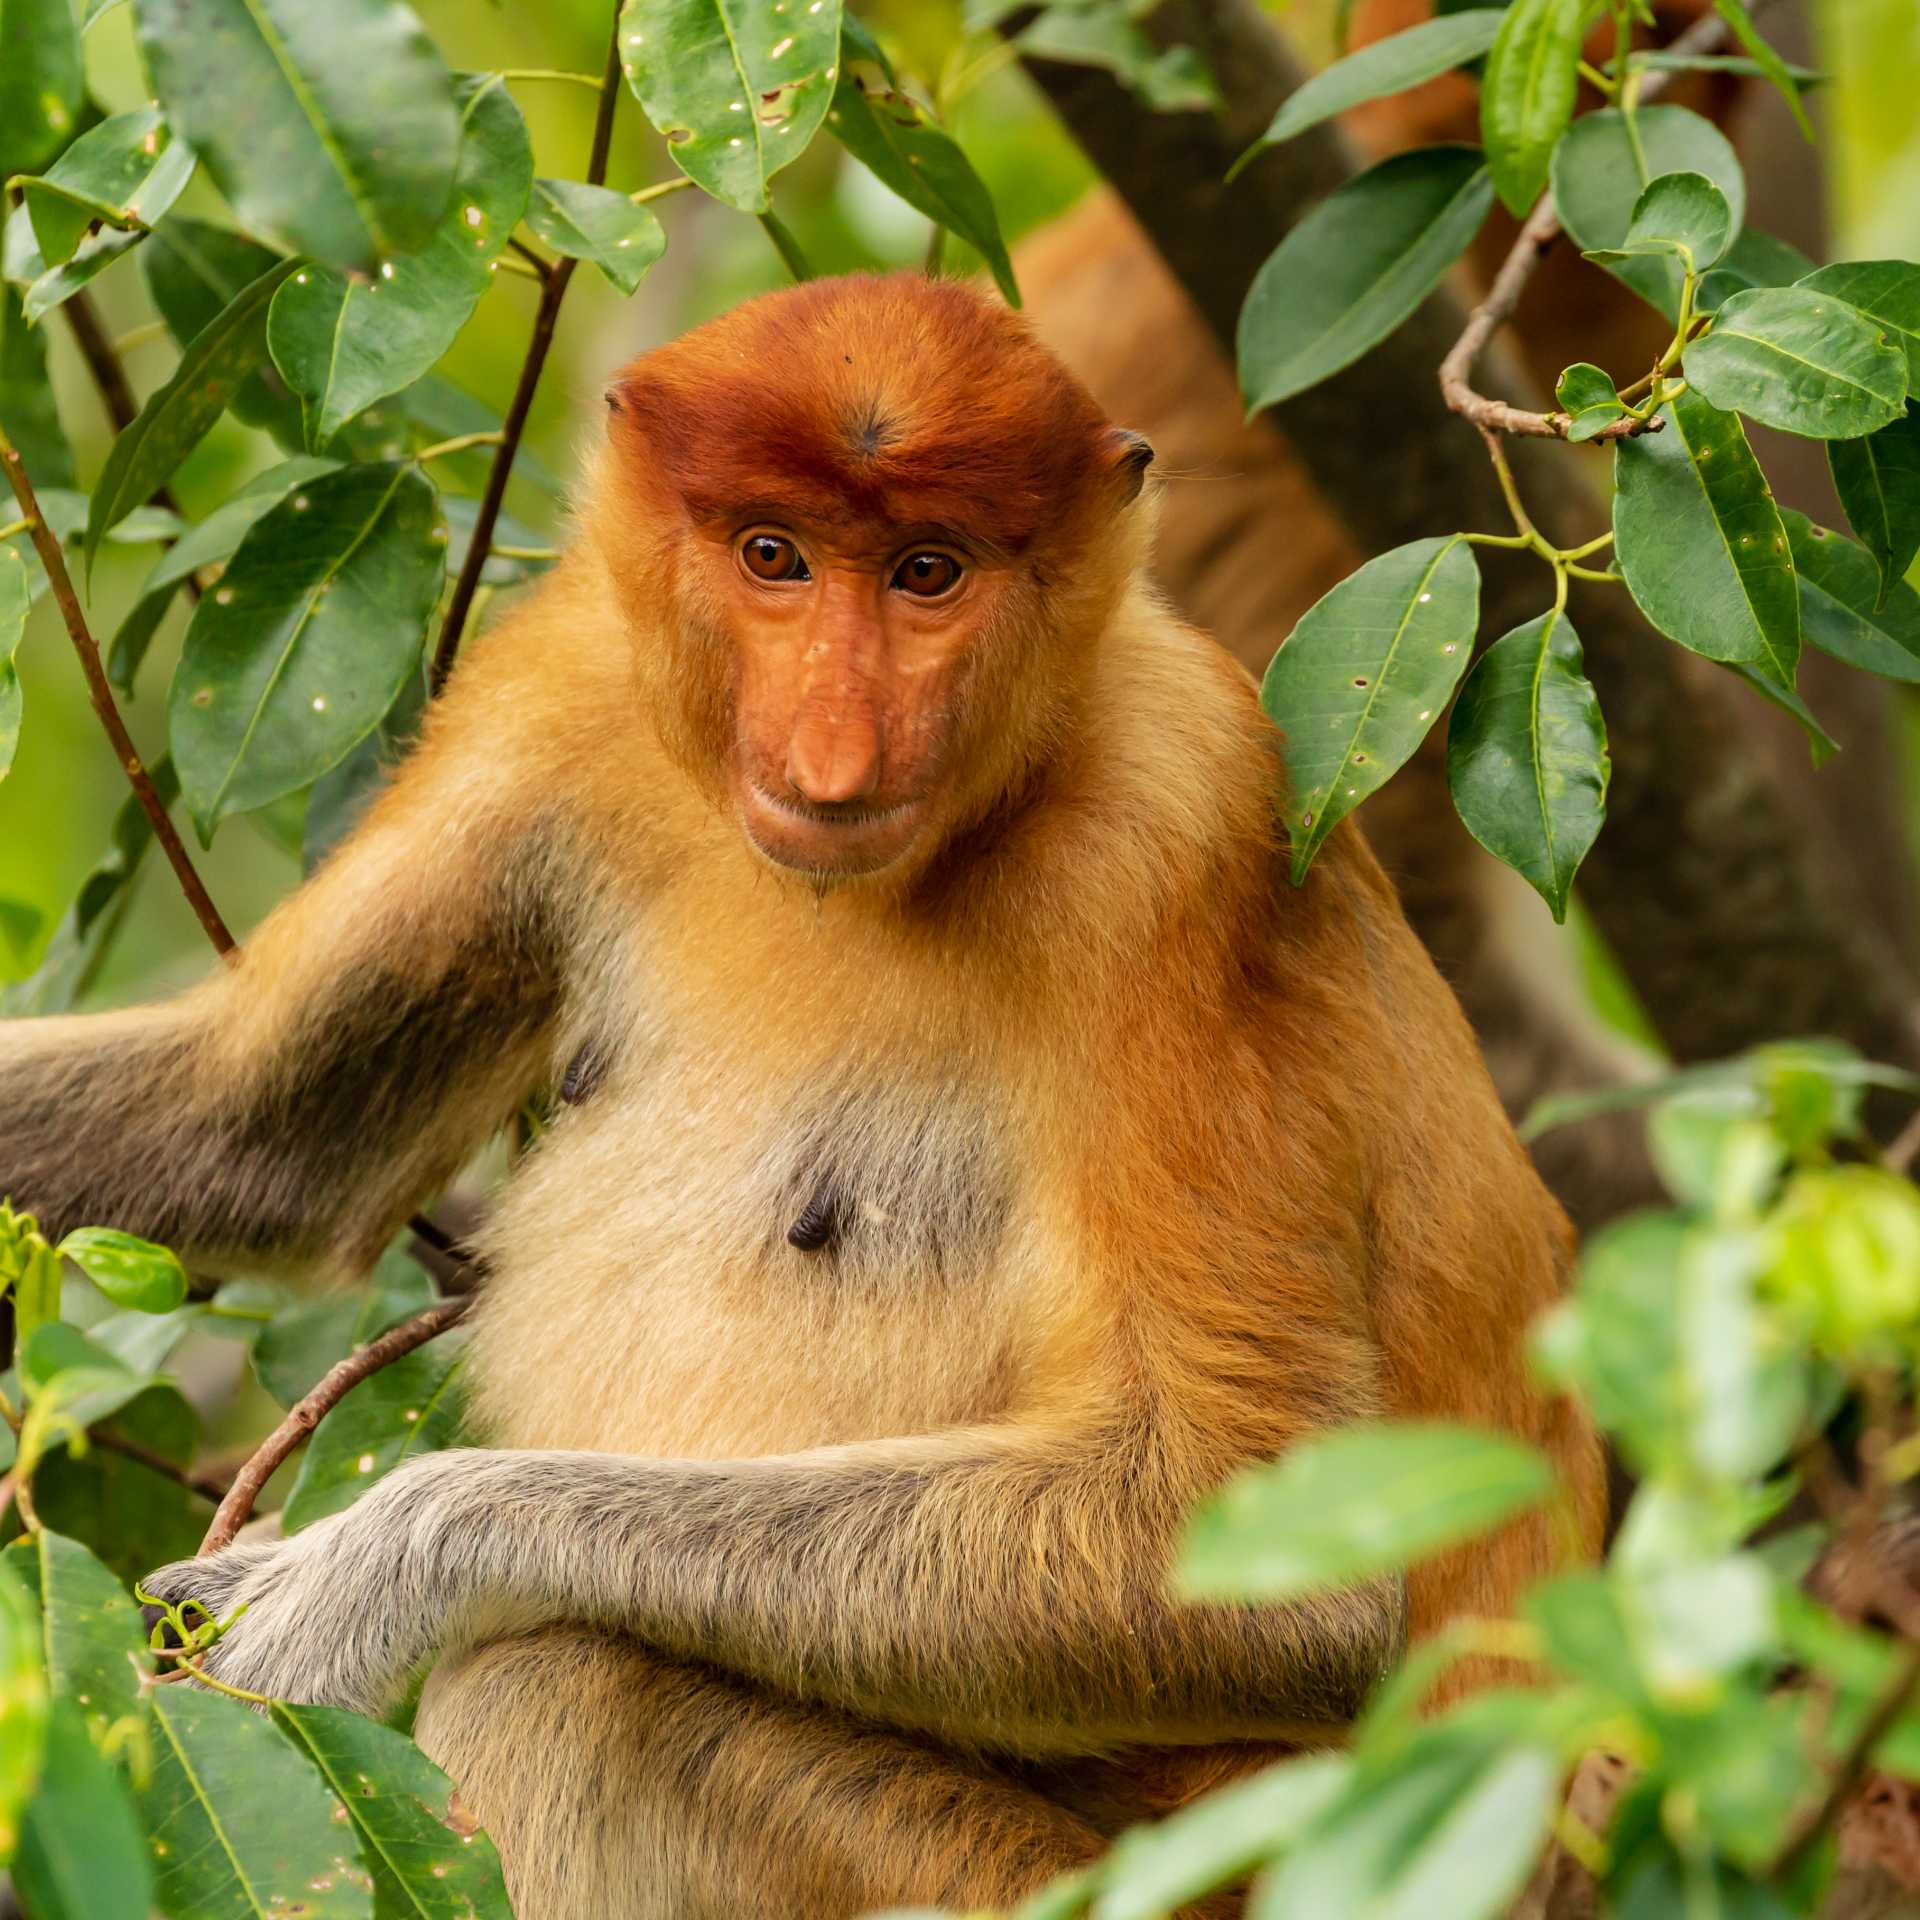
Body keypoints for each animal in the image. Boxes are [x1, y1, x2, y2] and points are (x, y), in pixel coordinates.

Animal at [3, 273, 1604, 1920]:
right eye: (772, 555)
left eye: (927, 572)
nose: (832, 755)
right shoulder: (567, 671)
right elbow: (265, 1128)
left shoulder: (1184, 832)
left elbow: (1257, 1540)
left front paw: (363, 1571)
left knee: (569, 1681)